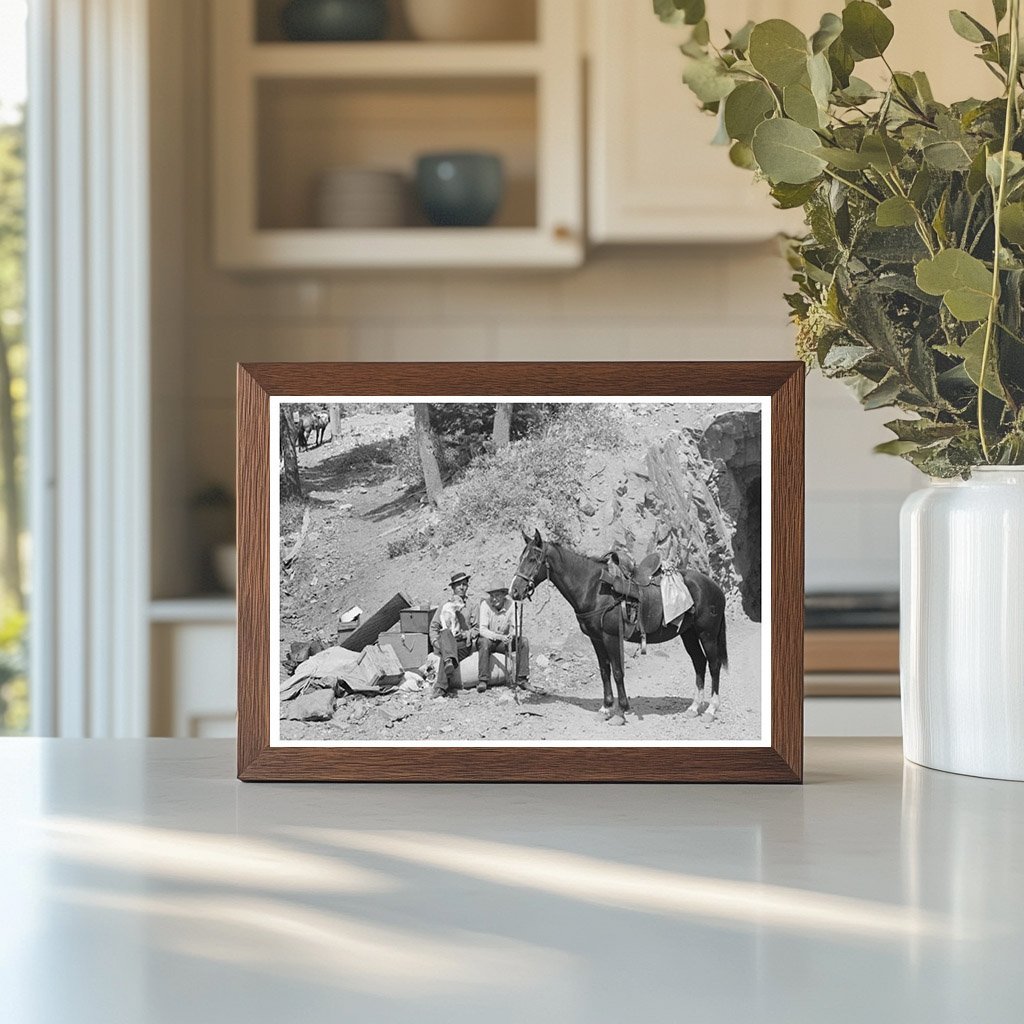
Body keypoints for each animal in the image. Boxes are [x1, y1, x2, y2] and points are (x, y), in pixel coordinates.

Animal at [512, 532, 729, 724]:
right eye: (520, 558)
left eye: (532, 559)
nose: (514, 591)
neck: (594, 588)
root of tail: (716, 588)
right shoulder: (596, 639)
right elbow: (604, 671)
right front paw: (606, 708)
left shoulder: (611, 637)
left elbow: (617, 672)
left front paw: (620, 712)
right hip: (689, 634)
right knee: (699, 663)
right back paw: (694, 708)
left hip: (707, 634)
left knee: (714, 665)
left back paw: (710, 710)